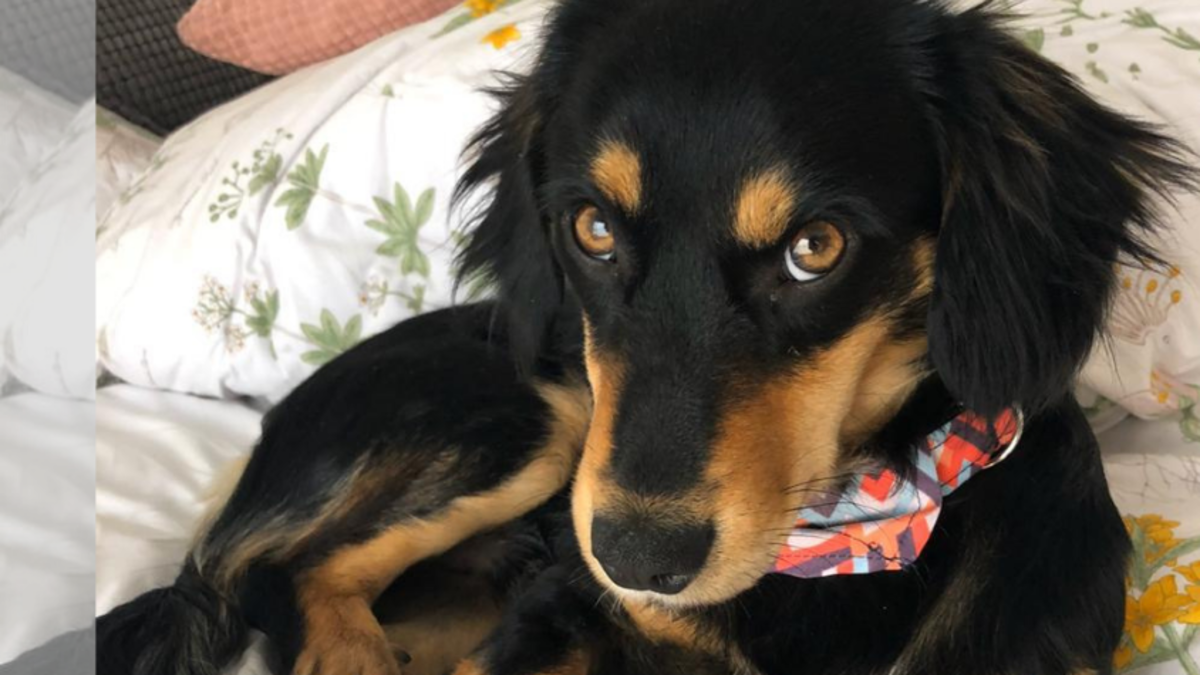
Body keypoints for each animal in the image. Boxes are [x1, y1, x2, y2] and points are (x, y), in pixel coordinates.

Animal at [96, 1, 1197, 674]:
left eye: (817, 247)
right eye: (590, 228)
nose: (635, 558)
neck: (855, 536)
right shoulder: (557, 607)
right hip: (537, 420)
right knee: (291, 573)